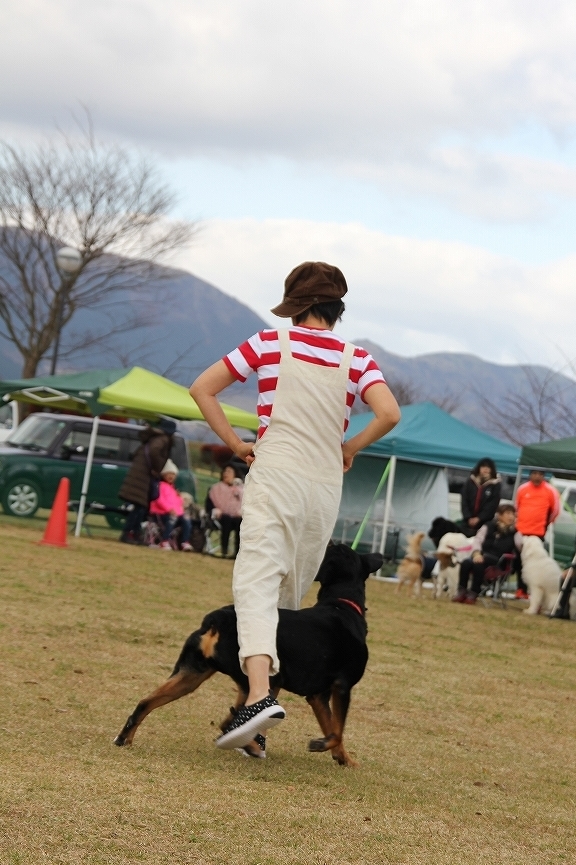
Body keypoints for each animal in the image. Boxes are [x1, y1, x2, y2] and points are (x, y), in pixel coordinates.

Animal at [115, 544, 382, 768]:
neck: (341, 604)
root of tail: (218, 620)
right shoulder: (342, 686)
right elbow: (337, 730)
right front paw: (325, 746)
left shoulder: (318, 695)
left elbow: (331, 726)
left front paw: (344, 759)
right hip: (266, 677)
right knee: (235, 719)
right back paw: (251, 745)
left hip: (191, 674)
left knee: (147, 703)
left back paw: (124, 738)